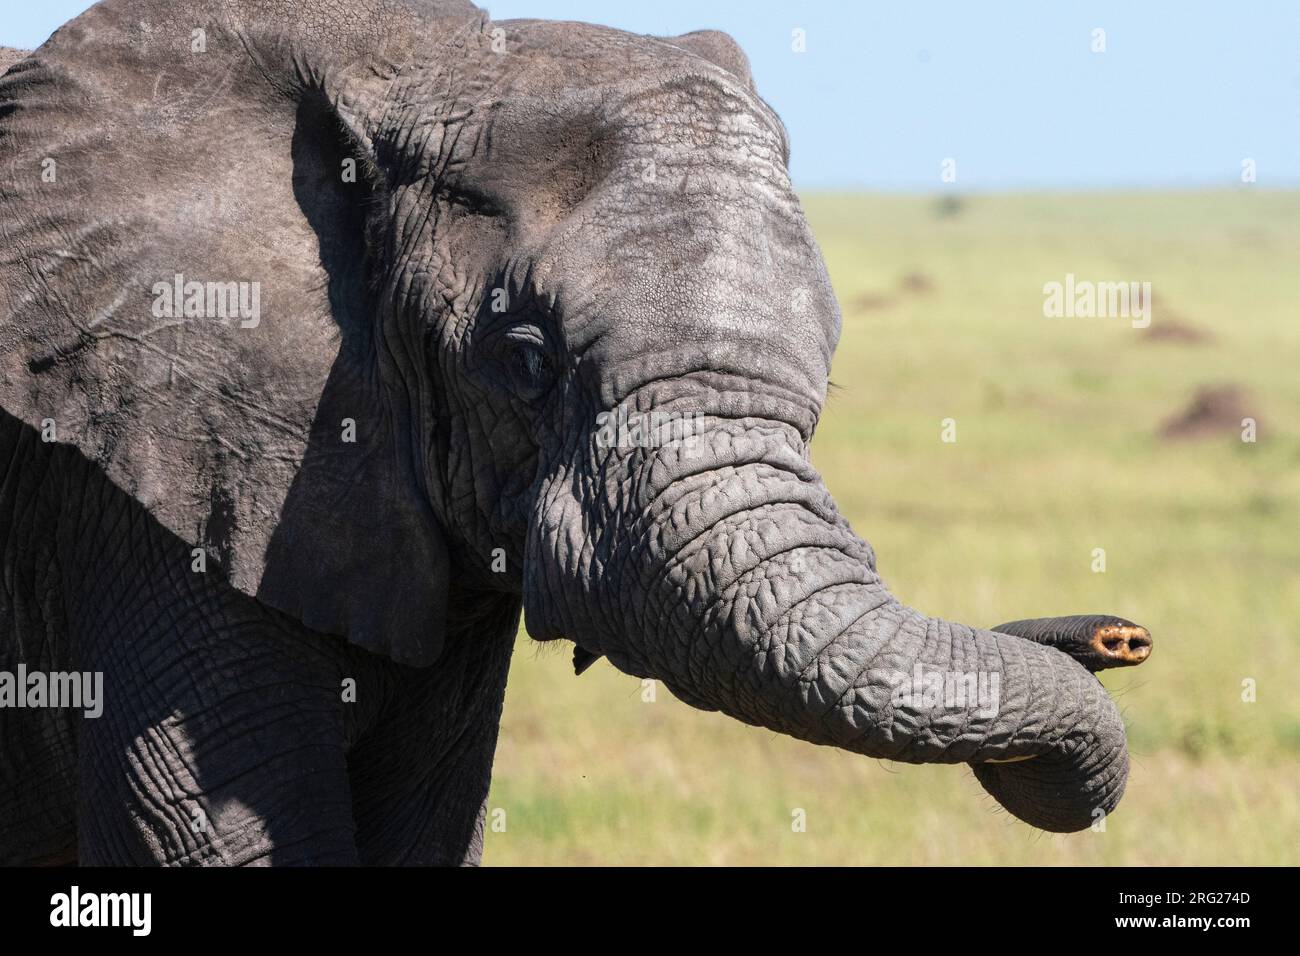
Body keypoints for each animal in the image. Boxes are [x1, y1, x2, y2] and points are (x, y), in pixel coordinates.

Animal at [0, 0, 1151, 866]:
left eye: (827, 367)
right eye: (524, 358)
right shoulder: (150, 453)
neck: (406, 58)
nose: (1119, 638)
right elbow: (213, 835)